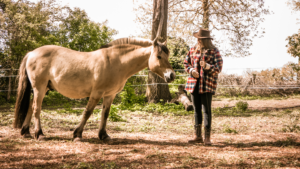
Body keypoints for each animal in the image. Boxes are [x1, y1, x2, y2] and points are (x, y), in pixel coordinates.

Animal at [12, 37, 176, 142]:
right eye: (159, 56)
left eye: (167, 55)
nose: (171, 75)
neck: (117, 62)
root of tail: (31, 53)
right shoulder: (96, 93)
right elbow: (88, 112)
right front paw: (77, 135)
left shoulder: (109, 95)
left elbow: (105, 114)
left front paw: (104, 135)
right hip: (39, 88)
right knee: (36, 108)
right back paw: (39, 134)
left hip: (43, 88)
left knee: (30, 107)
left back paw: (26, 132)